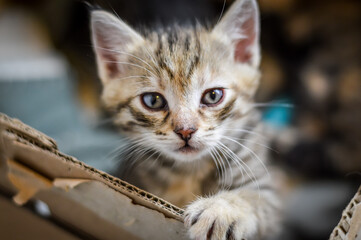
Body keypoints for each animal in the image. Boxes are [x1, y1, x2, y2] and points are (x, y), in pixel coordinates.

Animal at [90, 0, 282, 239]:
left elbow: (257, 199)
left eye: (213, 96)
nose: (185, 131)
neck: (189, 171)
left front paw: (220, 210)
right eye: (153, 100)